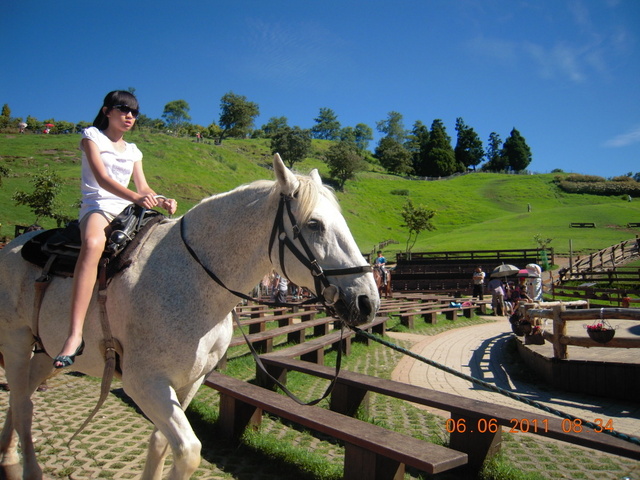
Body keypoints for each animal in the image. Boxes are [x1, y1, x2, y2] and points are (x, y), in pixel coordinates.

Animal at [0, 155, 380, 480]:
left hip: (46, 352)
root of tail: (15, 244)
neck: (195, 280)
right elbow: (188, 451)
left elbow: (159, 443)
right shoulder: (145, 382)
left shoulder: (190, 381)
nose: (367, 302)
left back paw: (9, 456)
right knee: (22, 402)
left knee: (23, 398)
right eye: (314, 224)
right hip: (17, 343)